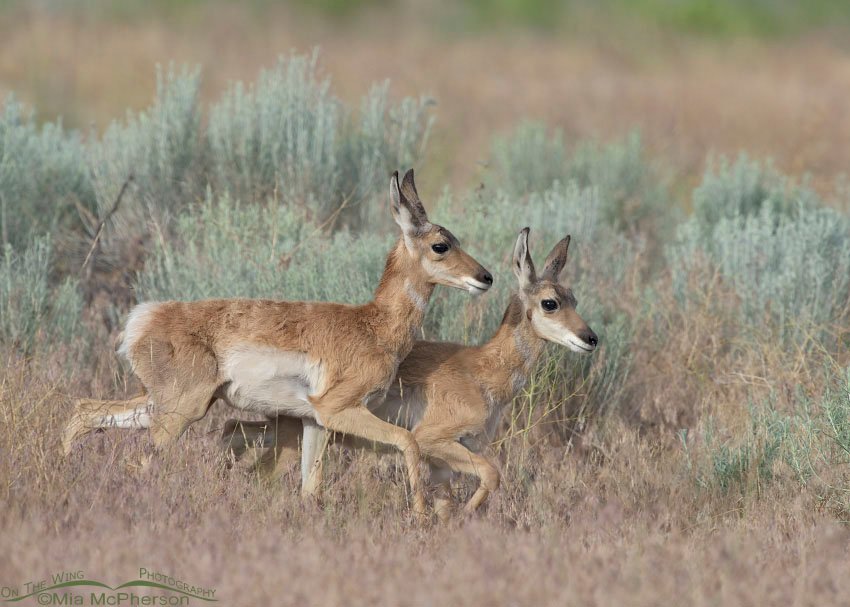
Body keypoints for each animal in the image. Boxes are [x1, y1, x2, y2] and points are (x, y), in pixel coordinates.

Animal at [62, 169, 494, 514]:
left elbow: (310, 488)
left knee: (84, 413)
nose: (486, 277)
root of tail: (146, 316)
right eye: (440, 245)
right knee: (135, 461)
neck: (372, 324)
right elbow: (408, 441)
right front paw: (421, 515)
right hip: (180, 412)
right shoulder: (339, 411)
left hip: (164, 405)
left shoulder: (315, 423)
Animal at [225, 227, 597, 518]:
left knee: (236, 436)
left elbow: (449, 504)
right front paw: (464, 515)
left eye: (574, 298)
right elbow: (491, 474)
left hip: (286, 431)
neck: (481, 368)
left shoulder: (446, 462)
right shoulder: (432, 441)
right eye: (550, 302)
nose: (591, 339)